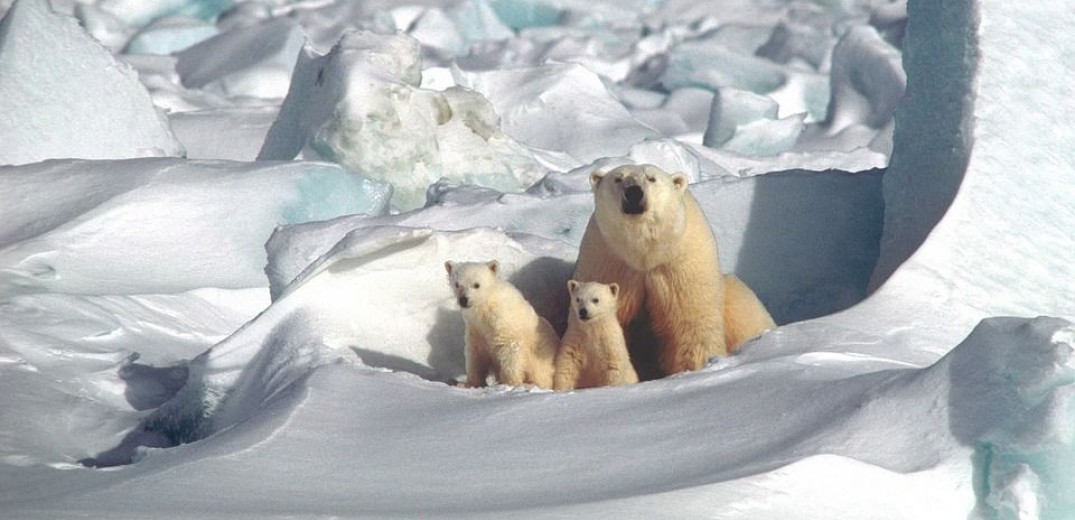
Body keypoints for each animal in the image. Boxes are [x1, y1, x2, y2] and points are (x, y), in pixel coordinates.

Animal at [576, 162, 778, 378]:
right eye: (618, 178)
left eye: (651, 178)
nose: (633, 192)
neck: (644, 254)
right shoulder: (610, 263)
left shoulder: (679, 265)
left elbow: (690, 323)